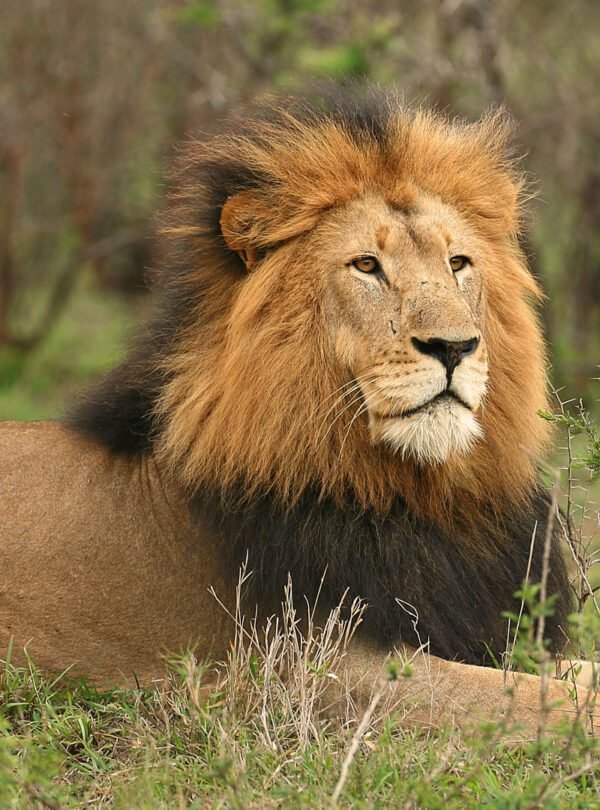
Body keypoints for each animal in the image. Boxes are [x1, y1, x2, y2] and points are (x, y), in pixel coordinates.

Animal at [0, 85, 596, 728]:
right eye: (367, 265)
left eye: (457, 263)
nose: (454, 347)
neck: (421, 497)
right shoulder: (319, 669)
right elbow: (546, 701)